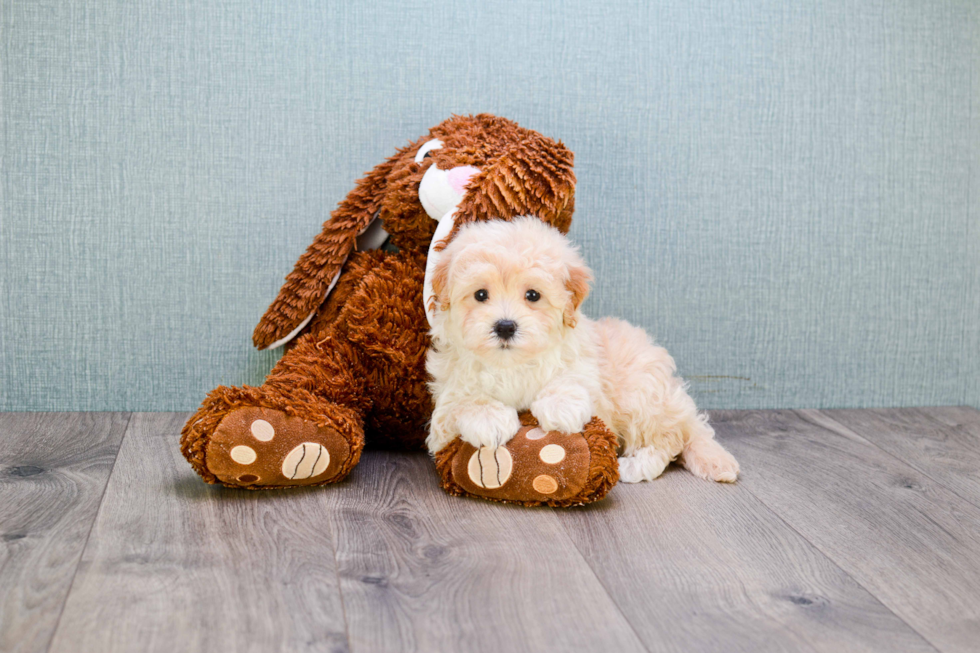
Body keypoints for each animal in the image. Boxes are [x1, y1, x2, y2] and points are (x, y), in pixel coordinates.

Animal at [424, 216, 740, 482]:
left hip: (641, 393)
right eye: (480, 294)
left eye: (532, 295)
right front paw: (489, 418)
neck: (510, 364)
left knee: (669, 439)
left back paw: (636, 465)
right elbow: (460, 403)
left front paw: (559, 406)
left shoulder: (586, 364)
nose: (505, 326)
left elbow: (574, 379)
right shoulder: (446, 402)